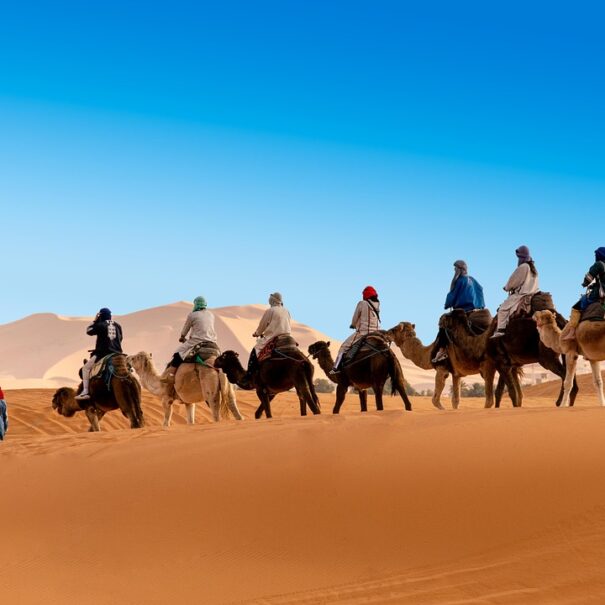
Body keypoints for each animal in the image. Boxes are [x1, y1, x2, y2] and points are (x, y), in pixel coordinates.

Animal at [438, 312, 576, 406]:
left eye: (449, 316)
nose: (440, 318)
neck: (482, 341)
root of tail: (563, 321)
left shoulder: (501, 363)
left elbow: (512, 392)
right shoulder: (508, 364)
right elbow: (501, 392)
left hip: (547, 357)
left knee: (565, 376)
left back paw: (561, 403)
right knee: (570, 375)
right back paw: (567, 403)